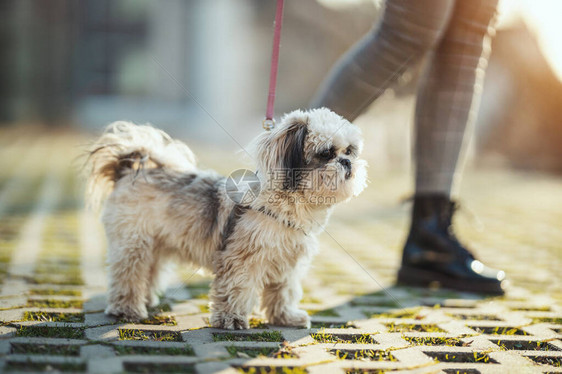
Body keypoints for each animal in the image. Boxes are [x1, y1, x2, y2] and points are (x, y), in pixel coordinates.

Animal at [85, 106, 368, 328]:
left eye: (350, 151)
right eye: (326, 153)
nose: (346, 162)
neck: (289, 207)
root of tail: (130, 168)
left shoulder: (287, 264)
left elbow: (283, 293)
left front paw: (285, 317)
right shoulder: (241, 260)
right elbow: (237, 289)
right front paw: (231, 319)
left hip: (155, 245)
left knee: (148, 272)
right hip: (133, 243)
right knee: (128, 274)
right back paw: (127, 308)